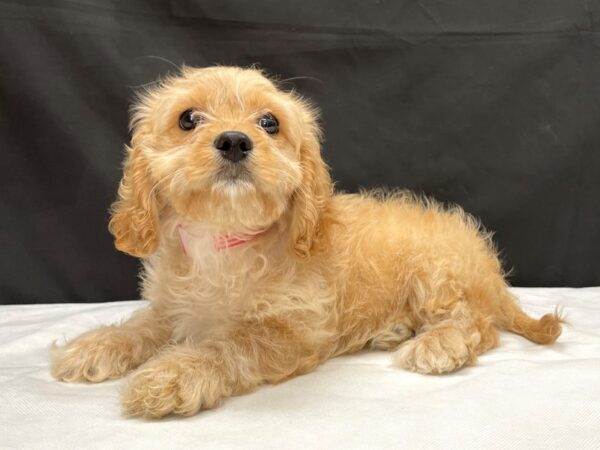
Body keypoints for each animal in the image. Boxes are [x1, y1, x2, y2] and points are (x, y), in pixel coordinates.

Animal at [50, 66, 564, 418]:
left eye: (269, 123)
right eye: (188, 119)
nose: (234, 141)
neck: (223, 240)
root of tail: (490, 271)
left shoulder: (293, 330)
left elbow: (228, 345)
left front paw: (171, 373)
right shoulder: (173, 306)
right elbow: (144, 324)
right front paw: (97, 346)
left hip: (437, 272)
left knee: (477, 325)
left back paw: (439, 344)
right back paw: (394, 329)